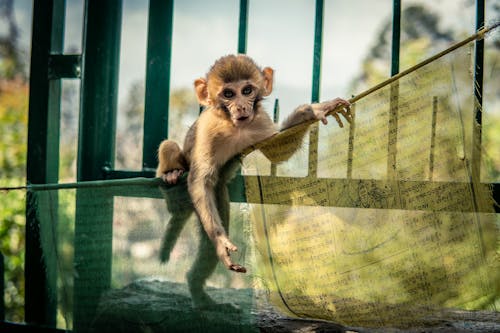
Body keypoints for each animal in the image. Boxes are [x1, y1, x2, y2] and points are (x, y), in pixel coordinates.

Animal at [157, 53, 352, 306]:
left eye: (247, 90)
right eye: (228, 94)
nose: (241, 106)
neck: (234, 126)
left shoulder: (260, 121)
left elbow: (277, 152)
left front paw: (312, 110)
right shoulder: (208, 130)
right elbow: (200, 180)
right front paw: (220, 241)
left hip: (219, 195)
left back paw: (197, 289)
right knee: (170, 147)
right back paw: (171, 174)